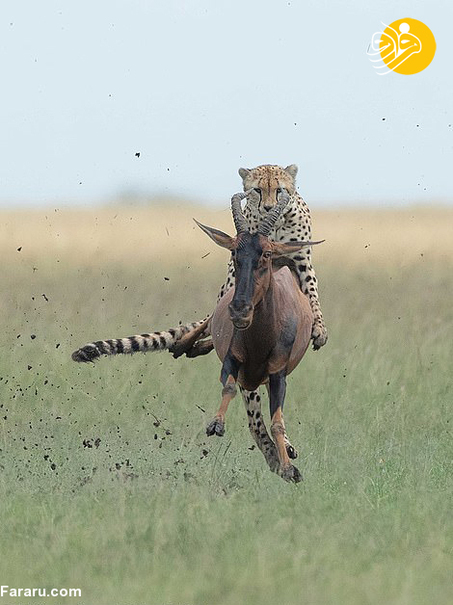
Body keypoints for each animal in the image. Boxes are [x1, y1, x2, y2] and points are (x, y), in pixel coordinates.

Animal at [195, 189, 322, 482]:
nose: (239, 310)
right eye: (234, 252)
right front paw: (216, 425)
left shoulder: (278, 374)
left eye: (266, 253)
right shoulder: (232, 360)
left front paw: (289, 469)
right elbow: (229, 387)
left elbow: (277, 423)